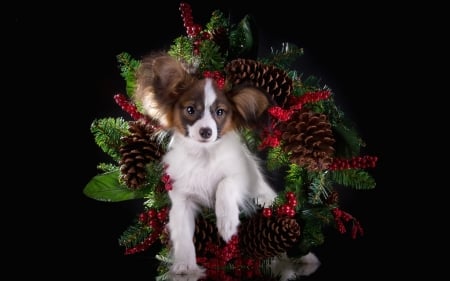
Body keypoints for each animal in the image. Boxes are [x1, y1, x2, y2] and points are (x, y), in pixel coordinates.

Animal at [135, 52, 278, 274]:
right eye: (190, 110)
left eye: (220, 112)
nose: (206, 131)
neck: (203, 156)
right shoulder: (181, 202)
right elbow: (183, 236)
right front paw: (185, 265)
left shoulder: (241, 176)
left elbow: (224, 184)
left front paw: (227, 222)